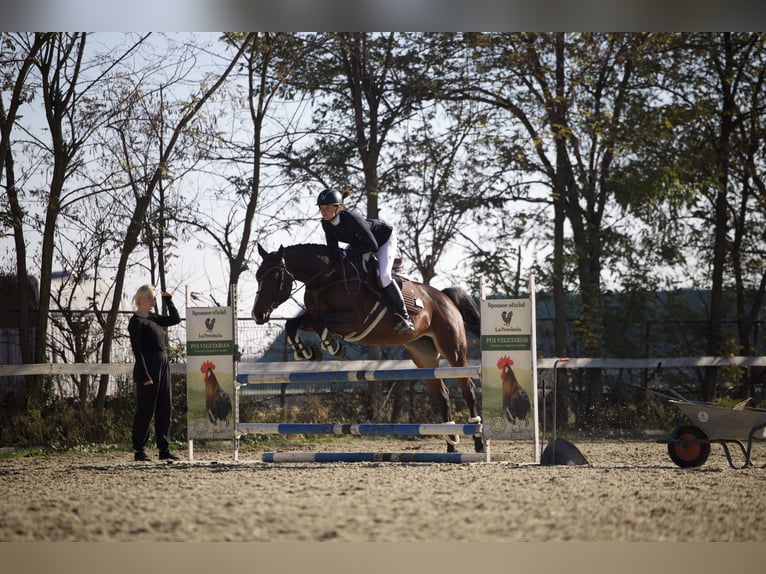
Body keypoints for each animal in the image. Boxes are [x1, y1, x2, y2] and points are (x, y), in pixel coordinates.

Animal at [254, 243, 486, 454]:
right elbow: (291, 324)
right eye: (257, 276)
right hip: (423, 355)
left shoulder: (353, 319)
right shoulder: (311, 317)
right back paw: (451, 446)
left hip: (453, 349)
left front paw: (333, 346)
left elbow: (321, 323)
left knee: (468, 390)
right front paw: (307, 352)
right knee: (443, 395)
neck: (324, 279)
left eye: (275, 276)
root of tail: (445, 297)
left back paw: (478, 443)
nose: (258, 314)